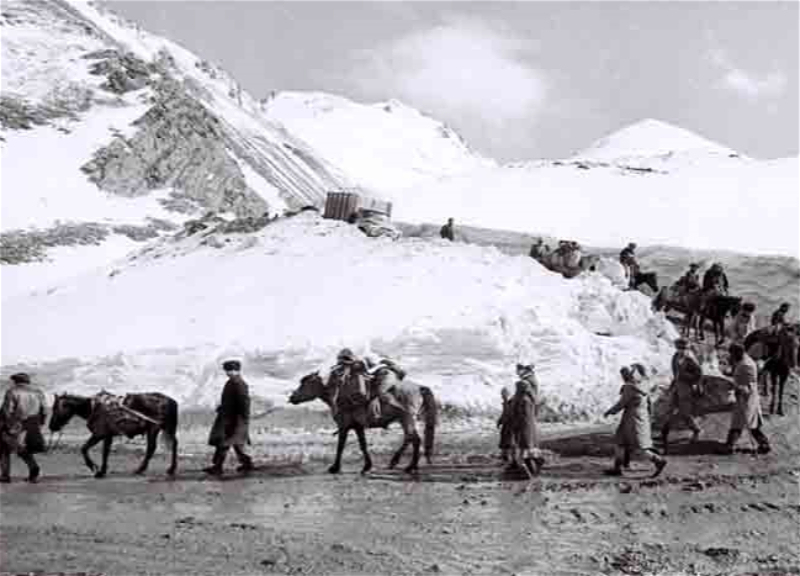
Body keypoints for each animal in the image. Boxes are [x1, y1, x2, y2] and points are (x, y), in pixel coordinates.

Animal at [50, 392, 178, 476]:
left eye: (55, 408)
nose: (51, 426)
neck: (93, 408)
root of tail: (171, 401)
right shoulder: (108, 436)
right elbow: (104, 452)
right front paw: (101, 470)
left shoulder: (99, 434)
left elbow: (85, 449)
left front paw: (95, 468)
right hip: (165, 429)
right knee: (171, 444)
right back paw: (166, 469)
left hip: (155, 428)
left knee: (153, 447)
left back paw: (144, 469)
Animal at [288, 374, 438, 472]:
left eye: (304, 384)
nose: (292, 397)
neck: (339, 396)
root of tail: (419, 387)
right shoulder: (357, 427)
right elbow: (363, 445)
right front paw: (367, 466)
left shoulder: (344, 427)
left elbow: (340, 446)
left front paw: (335, 467)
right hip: (407, 419)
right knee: (415, 439)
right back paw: (411, 466)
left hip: (406, 418)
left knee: (411, 438)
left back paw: (397, 462)